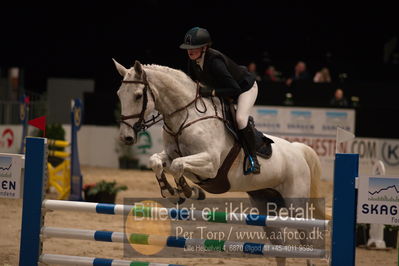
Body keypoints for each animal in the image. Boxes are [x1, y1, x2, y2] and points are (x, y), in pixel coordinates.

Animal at [114, 59, 330, 266]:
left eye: (138, 96)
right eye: (119, 94)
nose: (126, 138)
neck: (185, 116)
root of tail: (297, 149)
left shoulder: (210, 164)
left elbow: (178, 166)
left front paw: (189, 191)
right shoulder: (171, 155)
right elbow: (157, 162)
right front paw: (172, 191)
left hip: (296, 205)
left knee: (307, 241)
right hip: (266, 206)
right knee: (279, 247)